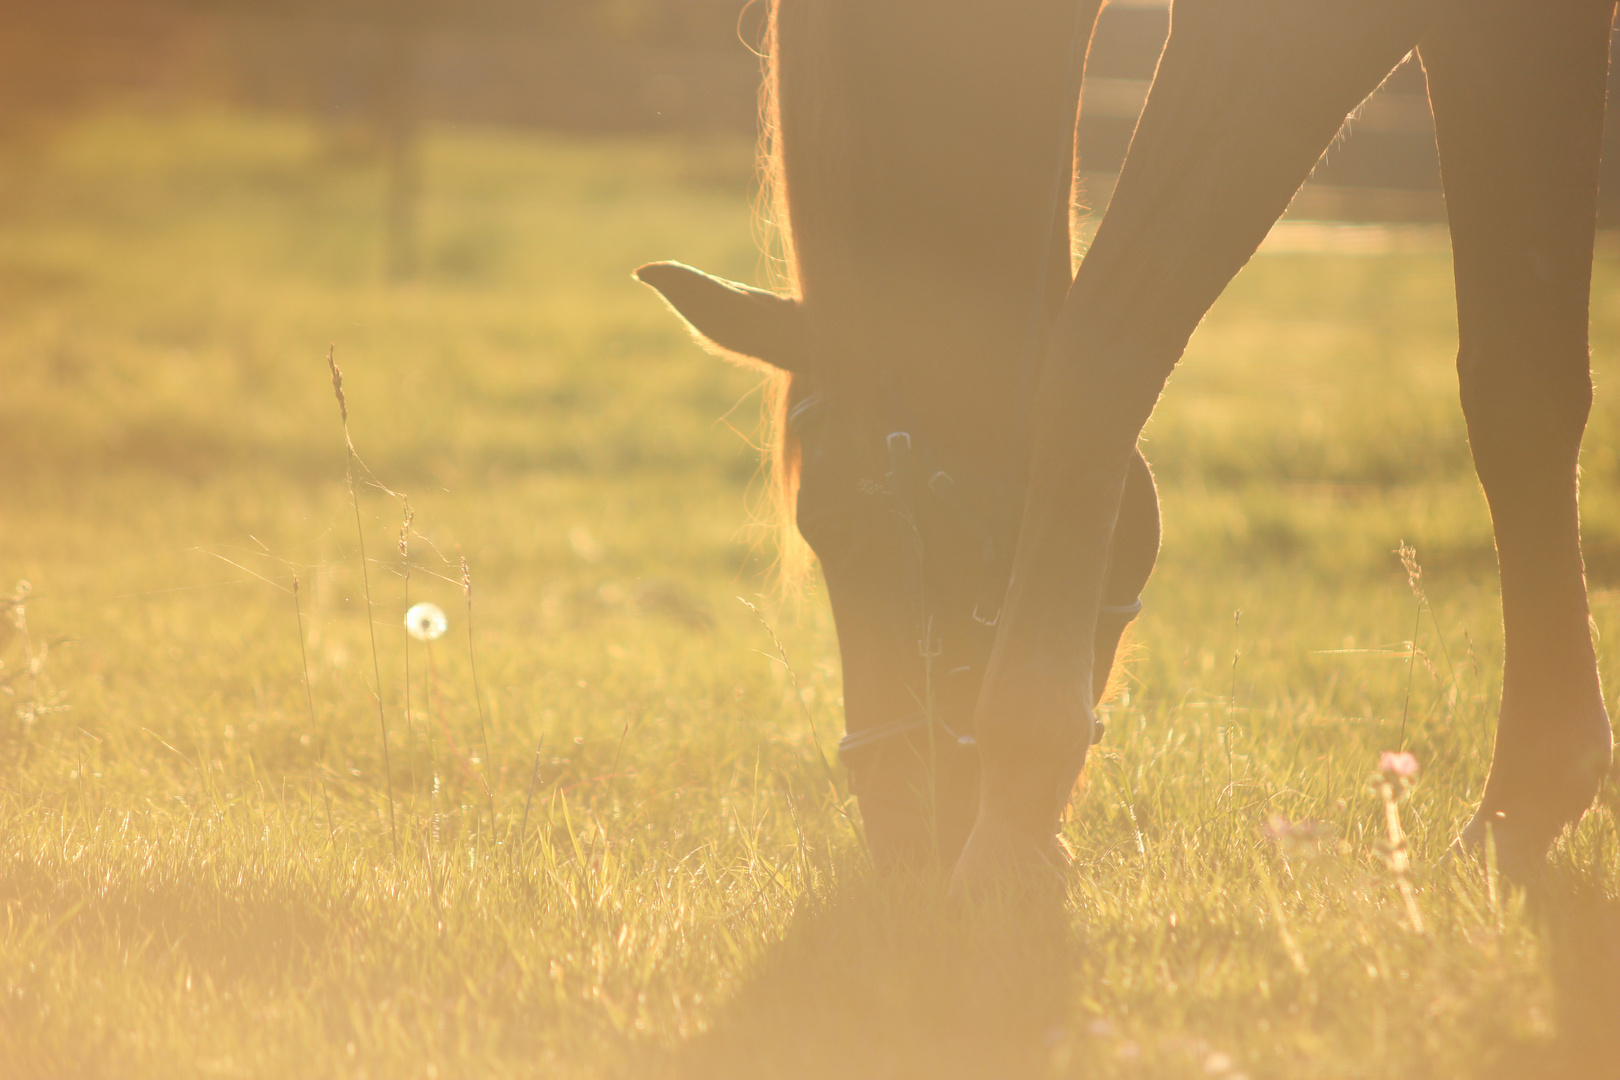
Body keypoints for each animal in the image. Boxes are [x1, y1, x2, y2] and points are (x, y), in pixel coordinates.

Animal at [638, 0, 1613, 887]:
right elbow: (1519, 389)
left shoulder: (1295, 30)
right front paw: (1526, 803)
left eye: (832, 527)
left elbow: (1104, 341)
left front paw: (1013, 809)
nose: (904, 835)